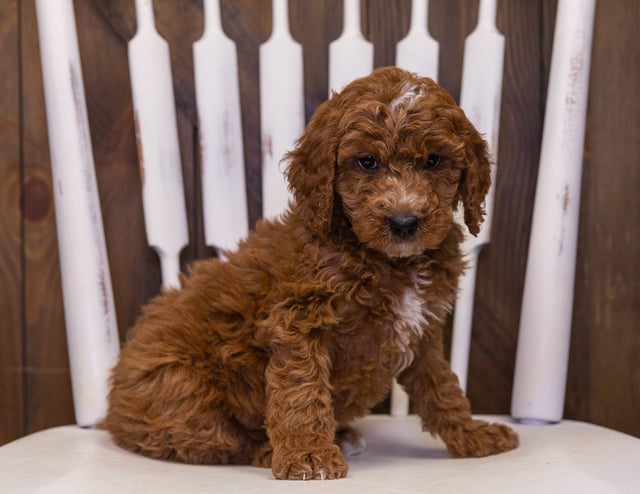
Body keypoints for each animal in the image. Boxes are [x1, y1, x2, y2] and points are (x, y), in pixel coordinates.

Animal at [101, 65, 520, 478]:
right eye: (366, 161)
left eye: (433, 161)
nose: (404, 222)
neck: (387, 260)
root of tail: (110, 412)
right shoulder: (299, 321)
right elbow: (302, 389)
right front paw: (308, 454)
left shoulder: (422, 332)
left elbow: (442, 387)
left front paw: (471, 434)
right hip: (179, 384)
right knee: (211, 438)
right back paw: (271, 449)